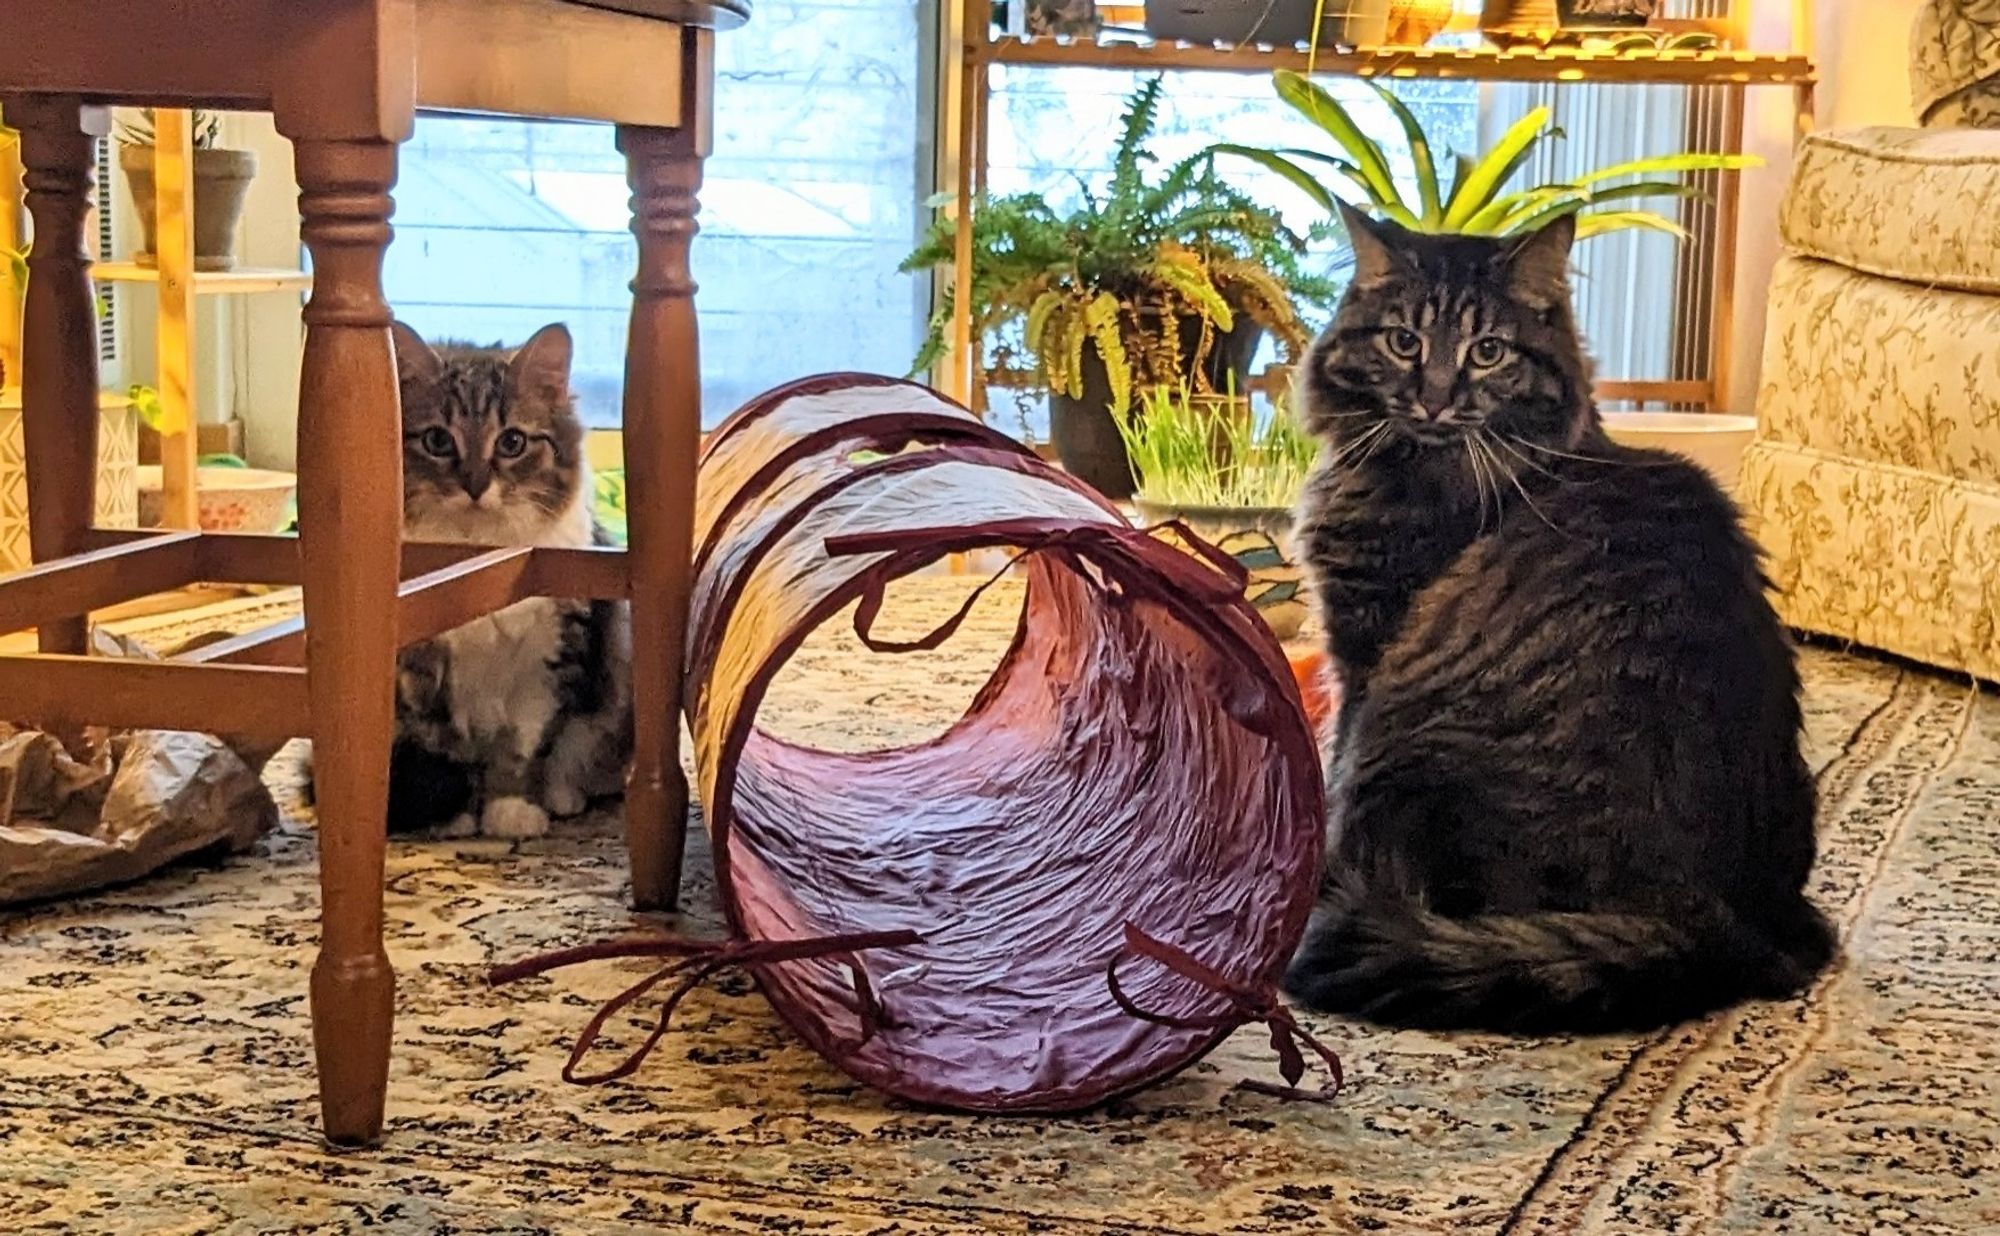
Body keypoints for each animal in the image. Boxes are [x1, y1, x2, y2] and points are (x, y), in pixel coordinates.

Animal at [376, 318, 624, 836]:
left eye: (512, 442)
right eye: (438, 440)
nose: (474, 486)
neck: (477, 557)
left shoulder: (548, 669)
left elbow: (523, 754)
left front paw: (511, 810)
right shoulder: (422, 672)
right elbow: (449, 752)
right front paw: (458, 818)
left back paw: (563, 798)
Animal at [1288, 205, 1832, 1032]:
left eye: (1487, 352)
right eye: (1403, 341)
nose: (1435, 398)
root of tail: (1729, 926)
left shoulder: (1364, 652)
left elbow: (1333, 775)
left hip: (1410, 729)